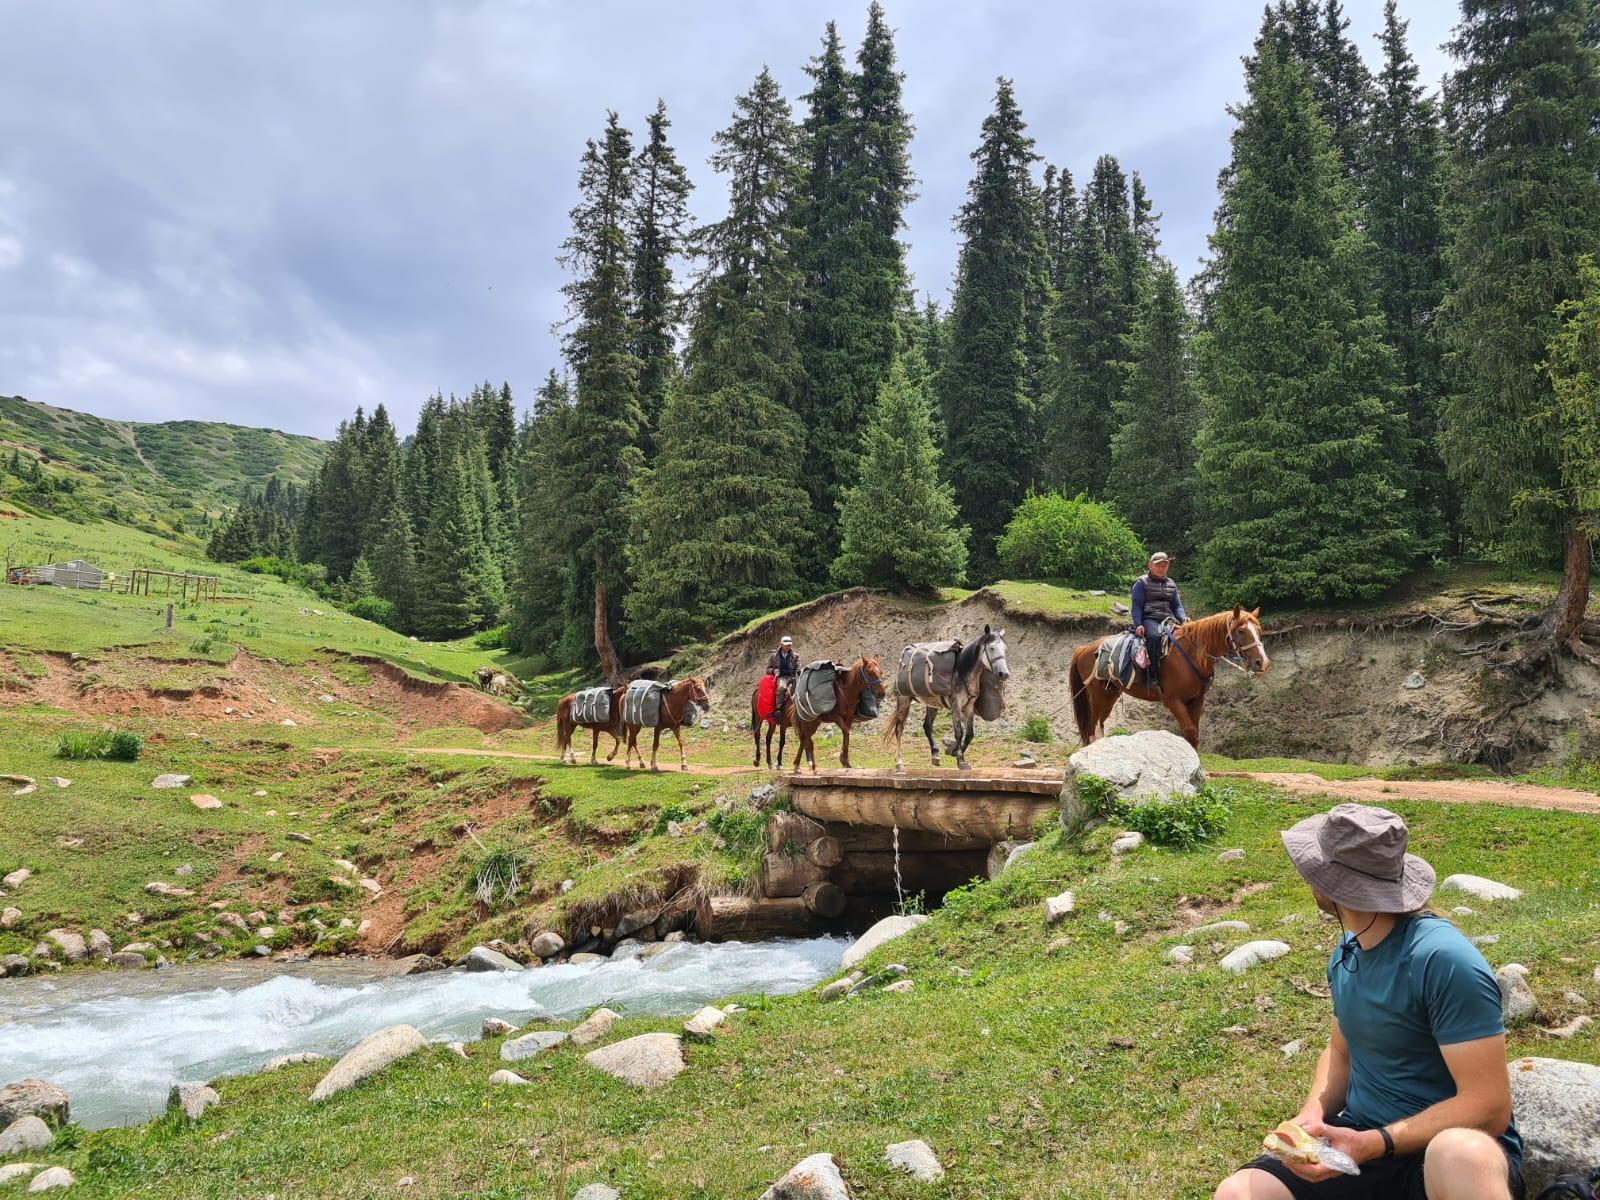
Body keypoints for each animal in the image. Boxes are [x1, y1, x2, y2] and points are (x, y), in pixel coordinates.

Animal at [889, 624, 1011, 774]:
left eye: (1005, 649)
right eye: (992, 648)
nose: (1004, 674)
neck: (963, 672)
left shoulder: (969, 707)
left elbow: (969, 734)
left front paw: (953, 752)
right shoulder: (955, 705)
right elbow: (959, 732)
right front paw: (961, 761)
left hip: (932, 704)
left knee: (927, 726)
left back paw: (935, 755)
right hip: (903, 699)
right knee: (899, 729)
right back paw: (899, 764)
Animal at [1068, 611, 1267, 752]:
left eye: (1258, 631)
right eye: (1241, 631)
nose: (1262, 662)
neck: (1192, 654)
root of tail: (1084, 648)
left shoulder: (1196, 700)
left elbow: (1193, 735)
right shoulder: (1172, 701)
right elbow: (1191, 734)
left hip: (1110, 695)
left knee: (1099, 724)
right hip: (1097, 696)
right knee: (1091, 727)